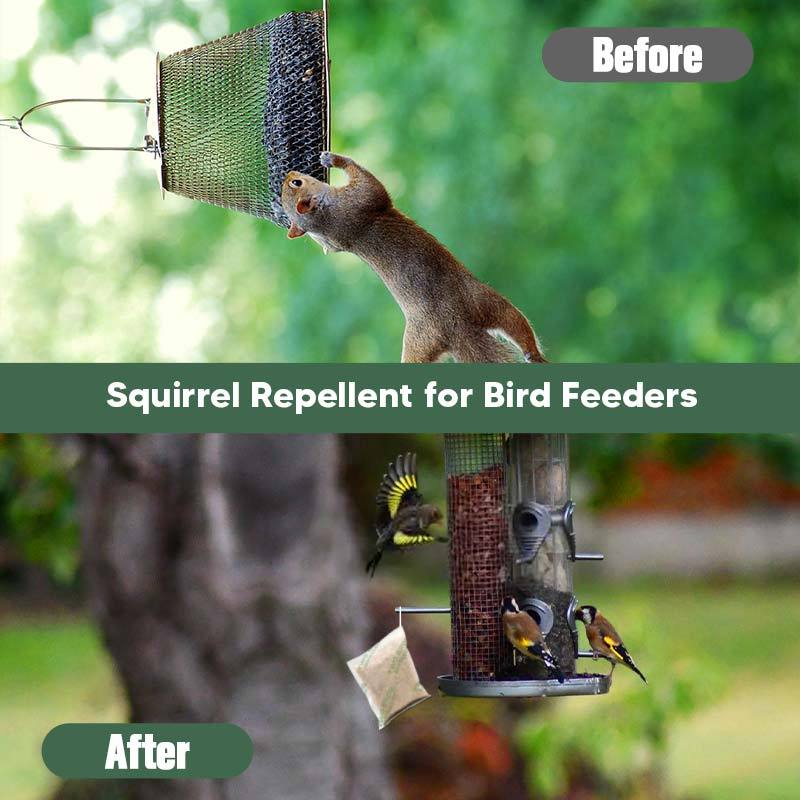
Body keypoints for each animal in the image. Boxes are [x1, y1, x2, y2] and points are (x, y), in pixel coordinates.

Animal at [280, 152, 546, 364]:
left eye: (294, 183)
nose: (289, 172)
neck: (327, 218)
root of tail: (455, 329)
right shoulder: (359, 200)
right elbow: (370, 182)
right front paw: (334, 159)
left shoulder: (340, 227)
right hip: (482, 300)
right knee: (517, 324)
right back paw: (534, 354)